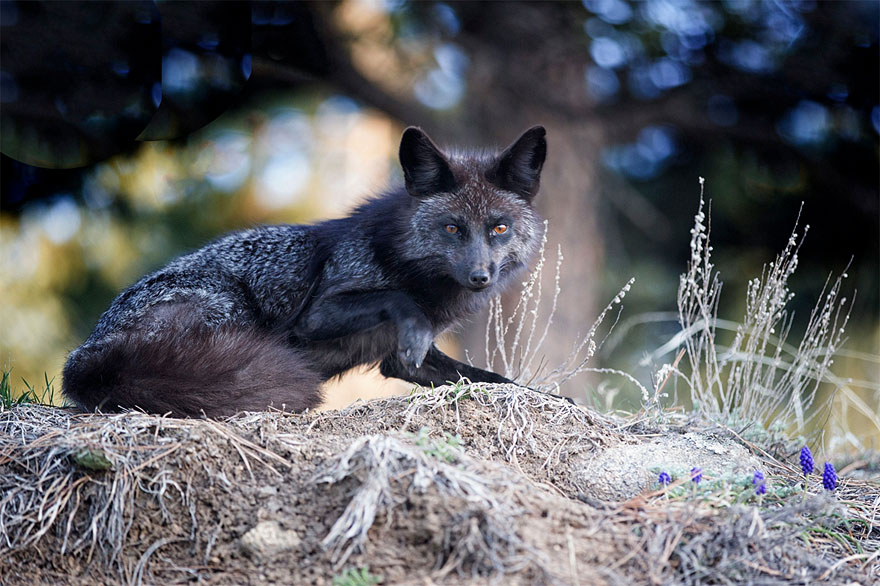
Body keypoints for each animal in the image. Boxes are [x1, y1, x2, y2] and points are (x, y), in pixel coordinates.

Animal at [62, 125, 548, 417]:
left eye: (499, 228)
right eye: (452, 228)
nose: (480, 277)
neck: (410, 266)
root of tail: (84, 358)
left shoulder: (404, 362)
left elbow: (501, 382)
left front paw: (550, 398)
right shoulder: (316, 317)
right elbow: (396, 300)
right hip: (231, 310)